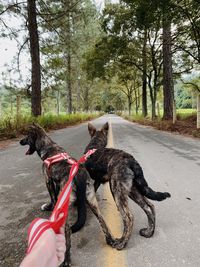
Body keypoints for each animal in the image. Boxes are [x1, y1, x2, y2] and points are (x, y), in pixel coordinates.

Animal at [20, 124, 119, 266]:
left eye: (27, 136)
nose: (20, 141)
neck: (48, 146)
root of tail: (79, 175)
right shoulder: (56, 182)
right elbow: (55, 194)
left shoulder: (48, 180)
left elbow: (52, 197)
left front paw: (49, 207)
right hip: (92, 202)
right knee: (103, 223)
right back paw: (111, 240)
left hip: (65, 216)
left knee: (67, 236)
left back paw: (66, 260)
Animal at [84, 123, 170, 251]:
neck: (95, 144)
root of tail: (131, 160)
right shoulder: (98, 181)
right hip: (133, 190)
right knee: (149, 206)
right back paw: (149, 232)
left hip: (117, 191)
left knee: (129, 218)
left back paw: (122, 243)